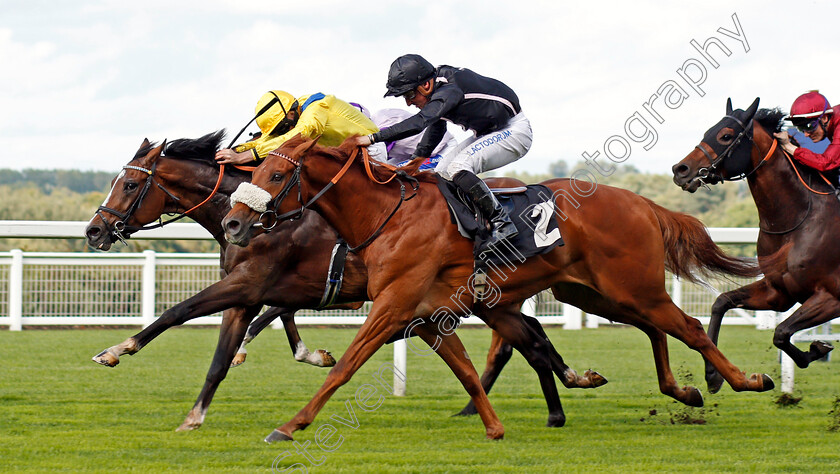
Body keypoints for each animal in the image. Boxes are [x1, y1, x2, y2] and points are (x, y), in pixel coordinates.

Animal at [83, 131, 604, 436]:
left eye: (130, 185)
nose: (93, 231)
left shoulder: (253, 285)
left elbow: (180, 312)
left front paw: (115, 350)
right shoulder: (259, 292)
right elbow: (225, 356)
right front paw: (197, 413)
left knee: (525, 341)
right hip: (490, 299)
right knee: (529, 340)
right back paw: (553, 398)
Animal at [223, 133, 776, 440]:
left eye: (277, 175)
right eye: (257, 169)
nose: (232, 223)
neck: (387, 214)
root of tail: (642, 202)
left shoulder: (394, 306)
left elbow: (345, 368)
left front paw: (291, 426)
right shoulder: (427, 313)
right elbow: (469, 370)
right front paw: (493, 426)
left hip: (631, 287)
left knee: (688, 327)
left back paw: (744, 380)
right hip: (595, 292)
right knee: (656, 329)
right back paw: (682, 390)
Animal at [676, 98, 840, 390]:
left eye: (726, 135)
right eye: (707, 131)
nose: (680, 170)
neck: (799, 220)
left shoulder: (830, 297)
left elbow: (781, 332)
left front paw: (817, 348)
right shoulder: (780, 293)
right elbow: (721, 302)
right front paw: (713, 374)